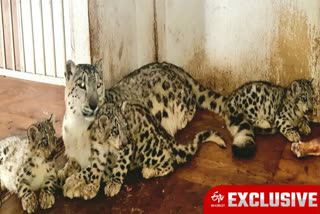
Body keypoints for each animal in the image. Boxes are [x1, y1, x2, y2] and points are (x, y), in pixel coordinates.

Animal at [59, 61, 225, 188]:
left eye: (99, 84)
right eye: (81, 85)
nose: (93, 104)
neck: (78, 126)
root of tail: (168, 64)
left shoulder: (109, 155)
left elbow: (91, 169)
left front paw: (72, 182)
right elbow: (70, 163)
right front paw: (62, 173)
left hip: (178, 99)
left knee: (192, 103)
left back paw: (180, 122)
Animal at [61, 103, 224, 200]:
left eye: (126, 127)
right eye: (115, 131)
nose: (124, 141)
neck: (106, 145)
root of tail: (166, 136)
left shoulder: (126, 150)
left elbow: (118, 168)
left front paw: (112, 185)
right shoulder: (99, 154)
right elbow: (93, 170)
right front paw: (89, 187)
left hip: (148, 151)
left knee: (169, 162)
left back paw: (148, 171)